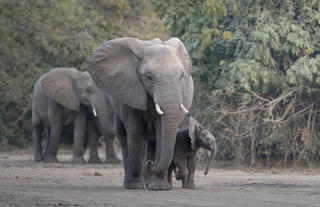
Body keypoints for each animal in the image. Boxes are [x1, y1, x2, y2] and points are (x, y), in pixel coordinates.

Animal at [87, 37, 194, 191]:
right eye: (149, 77)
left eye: (181, 77)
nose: (150, 163)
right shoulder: (129, 90)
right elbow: (134, 132)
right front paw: (135, 186)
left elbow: (161, 131)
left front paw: (159, 188)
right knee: (123, 134)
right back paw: (132, 183)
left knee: (153, 140)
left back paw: (149, 183)